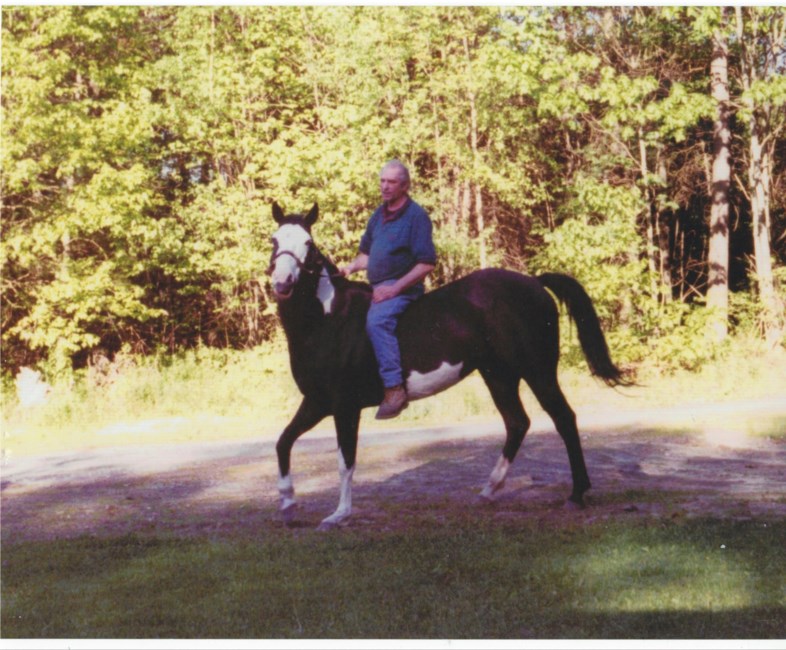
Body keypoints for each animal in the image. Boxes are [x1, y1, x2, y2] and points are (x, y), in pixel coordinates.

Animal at [268, 201, 624, 528]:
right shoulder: (316, 402)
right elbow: (283, 441)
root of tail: (535, 283)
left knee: (564, 418)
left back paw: (576, 494)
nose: (283, 282)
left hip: (538, 371)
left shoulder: (344, 407)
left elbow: (346, 461)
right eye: (274, 240)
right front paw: (287, 504)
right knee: (517, 423)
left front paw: (339, 514)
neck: (328, 319)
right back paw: (489, 490)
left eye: (308, 243)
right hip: (499, 376)